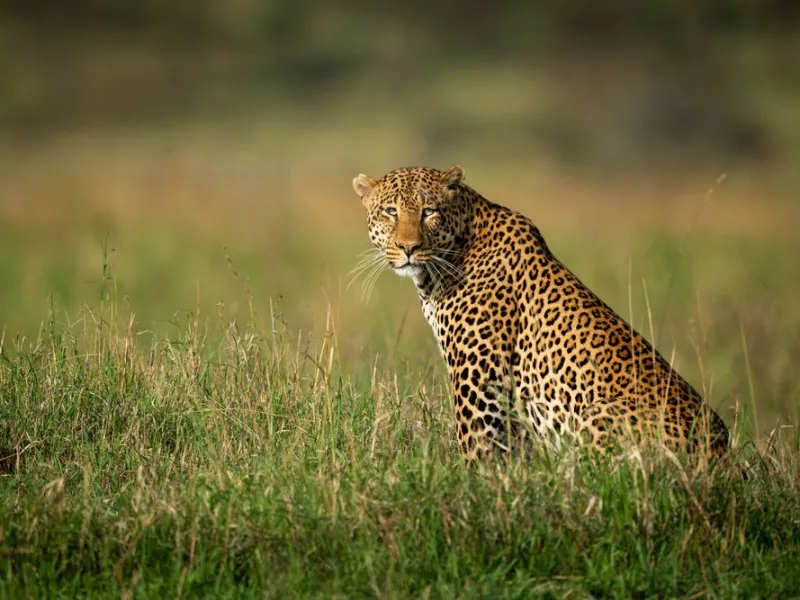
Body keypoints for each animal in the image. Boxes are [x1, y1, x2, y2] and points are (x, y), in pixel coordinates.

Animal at [352, 164, 729, 463]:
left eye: (429, 211)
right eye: (390, 211)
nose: (408, 247)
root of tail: (721, 459)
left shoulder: (479, 379)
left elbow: (476, 448)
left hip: (597, 416)